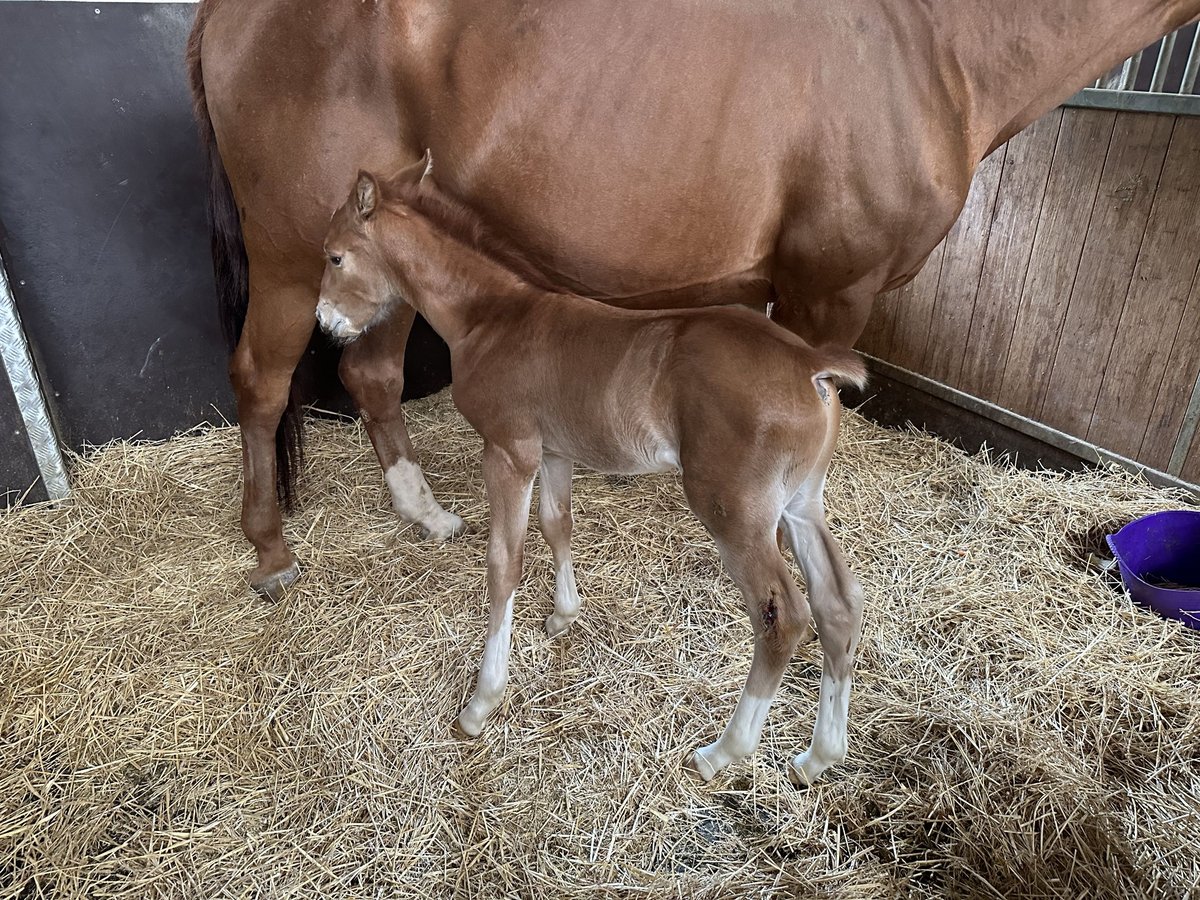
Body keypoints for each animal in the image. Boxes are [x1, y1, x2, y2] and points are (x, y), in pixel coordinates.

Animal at [184, 1, 1200, 600]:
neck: (927, 46)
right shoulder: (830, 291)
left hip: (382, 261)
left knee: (370, 373)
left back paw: (424, 514)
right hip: (296, 257)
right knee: (263, 381)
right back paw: (270, 550)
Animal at [316, 165, 864, 787]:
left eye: (334, 257)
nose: (325, 325)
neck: (491, 317)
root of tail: (811, 365)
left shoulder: (509, 451)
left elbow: (504, 563)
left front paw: (482, 702)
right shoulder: (554, 452)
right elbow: (558, 525)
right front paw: (563, 615)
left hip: (736, 510)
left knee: (783, 617)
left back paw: (722, 752)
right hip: (800, 502)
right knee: (838, 605)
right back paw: (818, 757)